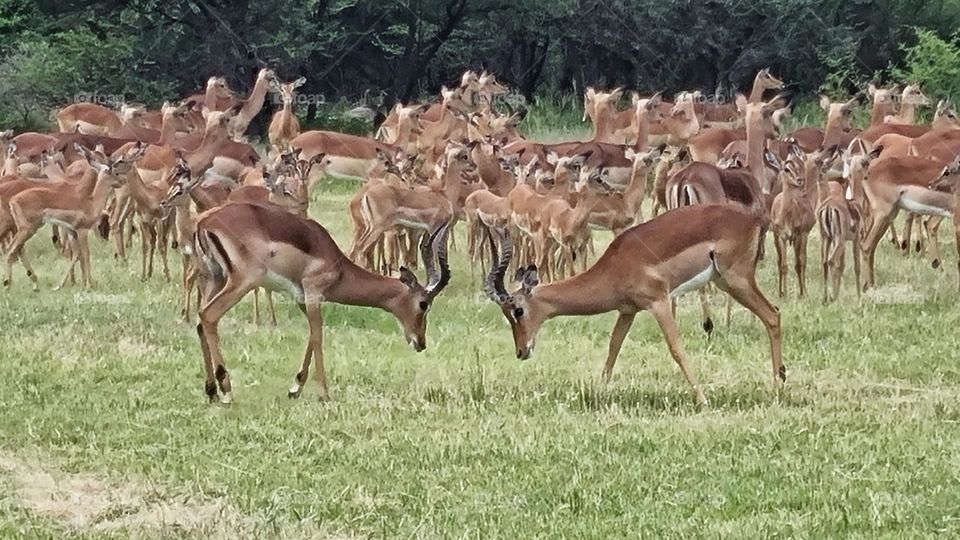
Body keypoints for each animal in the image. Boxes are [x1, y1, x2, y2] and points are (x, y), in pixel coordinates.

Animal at [192, 203, 451, 403]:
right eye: (423, 304)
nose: (421, 342)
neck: (337, 265)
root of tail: (205, 222)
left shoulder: (302, 298)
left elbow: (310, 337)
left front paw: (295, 388)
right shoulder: (313, 292)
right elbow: (318, 336)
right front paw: (324, 394)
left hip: (215, 279)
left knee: (200, 321)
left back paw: (211, 391)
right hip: (242, 281)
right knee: (209, 316)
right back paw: (226, 391)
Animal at [483, 203, 783, 406]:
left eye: (517, 310)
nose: (521, 351)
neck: (615, 266)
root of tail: (754, 219)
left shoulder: (659, 302)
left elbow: (676, 349)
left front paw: (702, 399)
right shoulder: (627, 311)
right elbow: (613, 348)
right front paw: (598, 393)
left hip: (736, 280)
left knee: (772, 315)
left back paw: (776, 387)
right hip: (726, 281)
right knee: (775, 313)